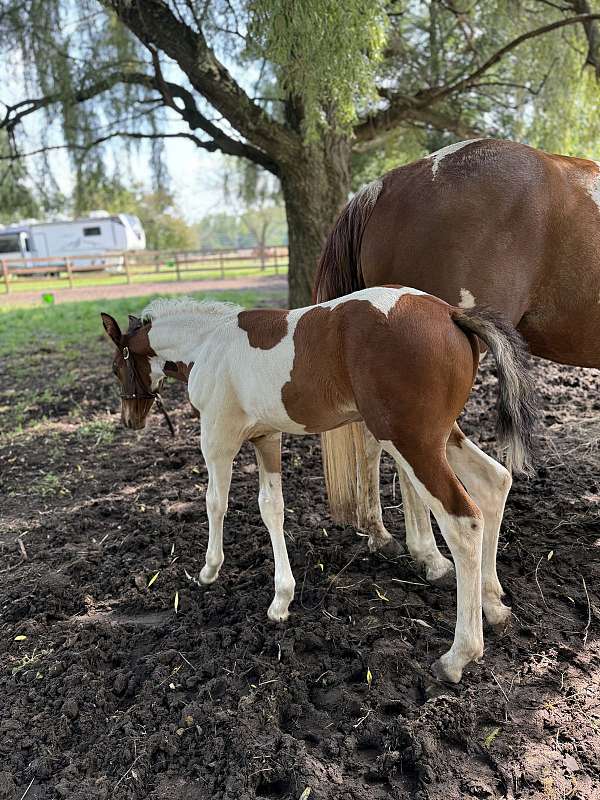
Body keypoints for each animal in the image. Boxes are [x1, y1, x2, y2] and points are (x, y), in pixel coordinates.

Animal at [101, 288, 536, 680]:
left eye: (117, 367)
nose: (130, 419)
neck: (208, 342)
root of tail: (450, 314)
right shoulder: (266, 437)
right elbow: (271, 508)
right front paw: (281, 599)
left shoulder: (217, 437)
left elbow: (215, 502)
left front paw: (209, 571)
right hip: (440, 437)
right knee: (494, 481)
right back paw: (495, 605)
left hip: (411, 442)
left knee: (464, 522)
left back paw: (457, 656)